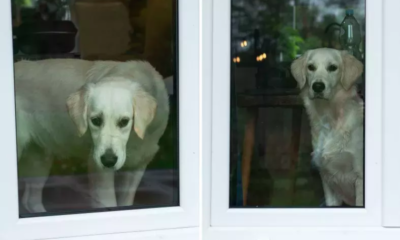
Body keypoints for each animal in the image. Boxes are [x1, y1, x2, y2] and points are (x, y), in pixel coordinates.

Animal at [14, 59, 169, 213]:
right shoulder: (99, 171)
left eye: (124, 121)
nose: (108, 160)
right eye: (96, 120)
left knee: (30, 200)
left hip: (40, 158)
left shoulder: (138, 165)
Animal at [290, 48, 366, 206]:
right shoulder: (327, 179)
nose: (318, 86)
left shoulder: (360, 177)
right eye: (311, 67)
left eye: (332, 67)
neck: (330, 118)